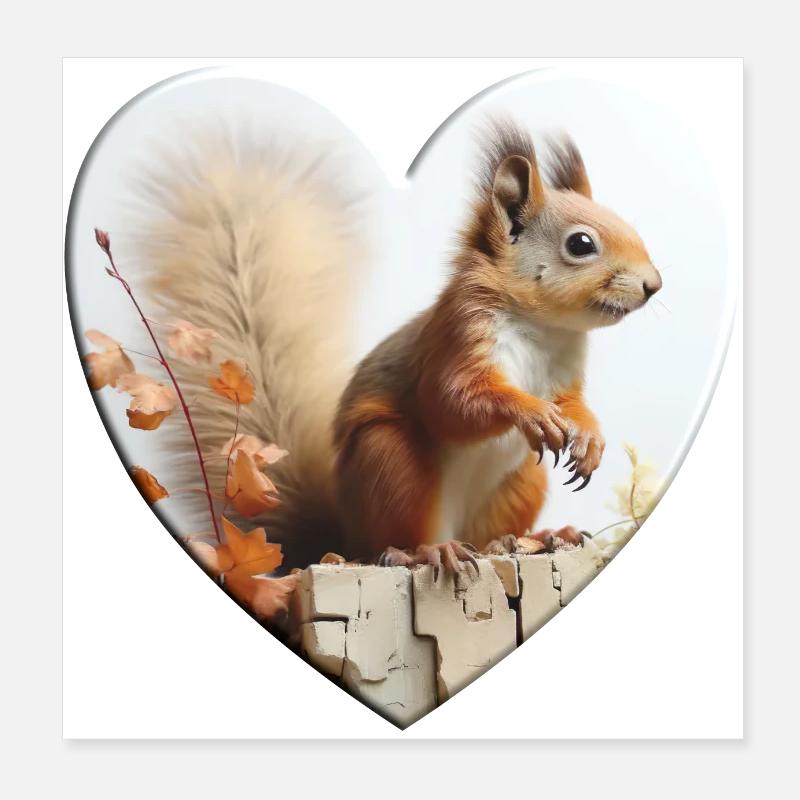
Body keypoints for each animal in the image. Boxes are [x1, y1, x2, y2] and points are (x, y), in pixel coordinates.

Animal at [139, 119, 661, 573]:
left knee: (489, 534)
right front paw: (530, 412)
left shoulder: (565, 371)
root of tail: (342, 541)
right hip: (390, 463)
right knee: (395, 539)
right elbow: (451, 402)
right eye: (580, 244)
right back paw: (427, 553)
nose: (653, 285)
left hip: (520, 483)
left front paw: (589, 438)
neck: (543, 328)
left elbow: (574, 404)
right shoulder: (458, 338)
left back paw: (536, 537)